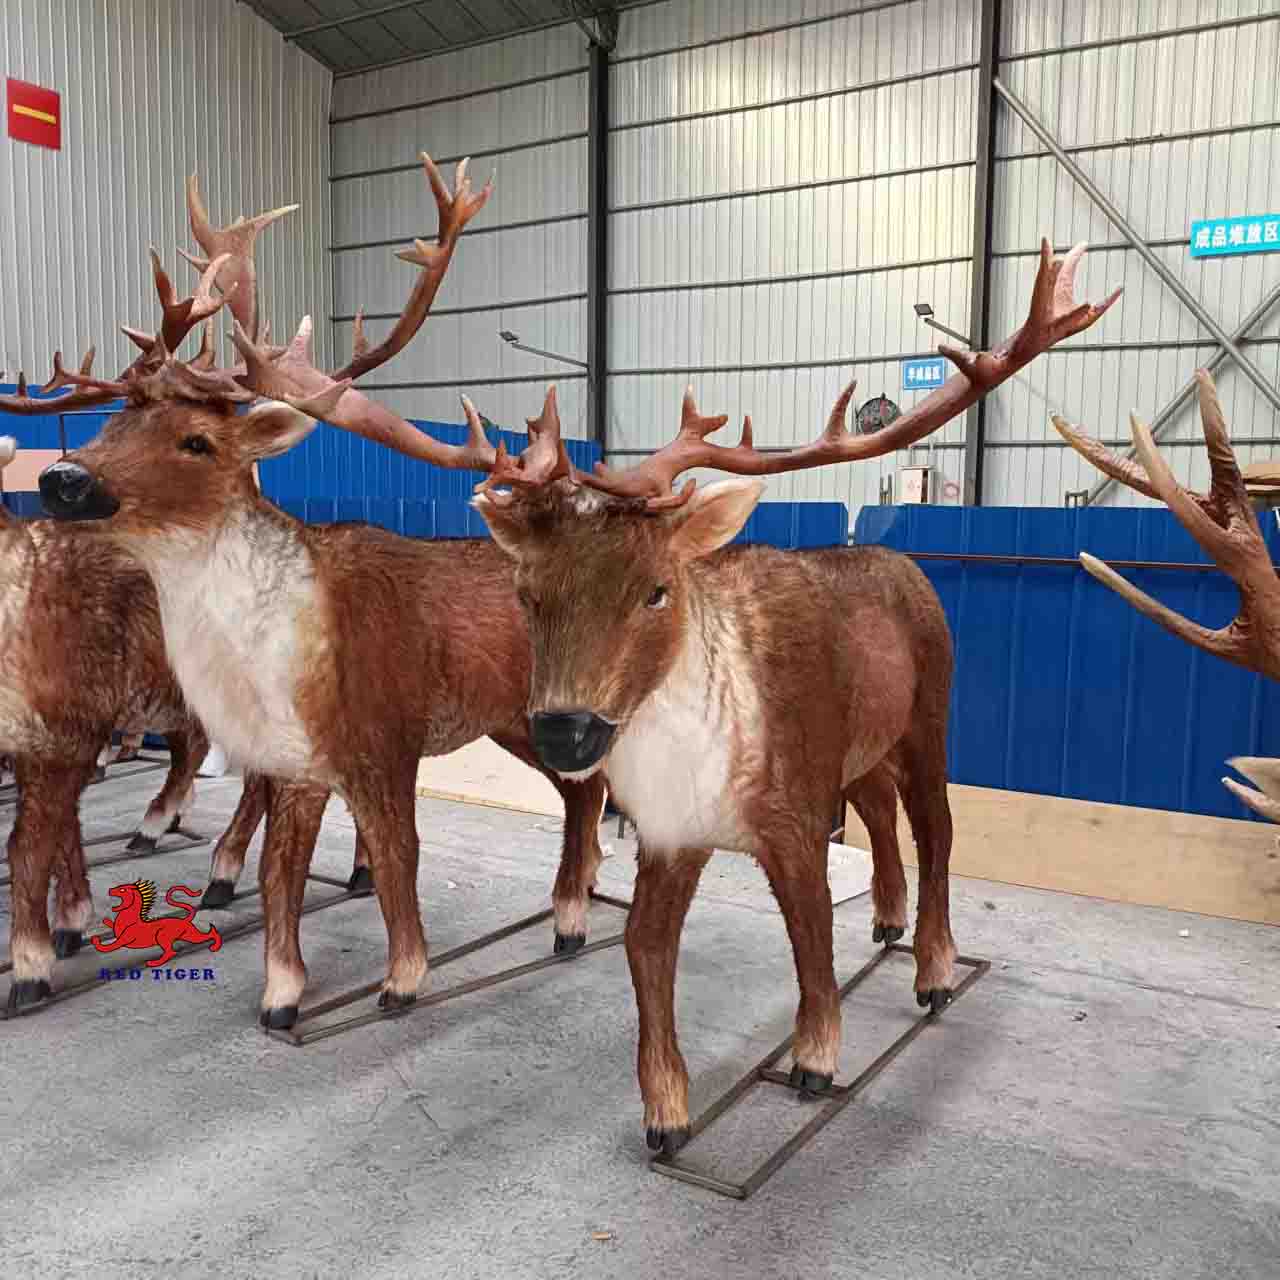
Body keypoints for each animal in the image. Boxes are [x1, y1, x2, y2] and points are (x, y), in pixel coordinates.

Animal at [35, 155, 609, 1028]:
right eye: (109, 423)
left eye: (198, 441)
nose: (61, 477)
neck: (288, 655)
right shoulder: (295, 761)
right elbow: (281, 873)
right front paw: (280, 994)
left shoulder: (384, 734)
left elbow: (402, 855)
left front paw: (404, 979)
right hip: (512, 719)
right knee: (585, 793)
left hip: (541, 707)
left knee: (589, 790)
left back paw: (573, 920)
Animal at [123, 235, 1114, 1152]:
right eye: (528, 594)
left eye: (657, 589)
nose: (570, 727)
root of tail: (900, 561)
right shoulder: (668, 828)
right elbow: (644, 948)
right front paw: (665, 1112)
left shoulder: (793, 807)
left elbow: (807, 941)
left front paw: (814, 1061)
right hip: (838, 745)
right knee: (871, 810)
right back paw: (883, 919)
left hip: (930, 713)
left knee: (938, 828)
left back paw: (933, 971)